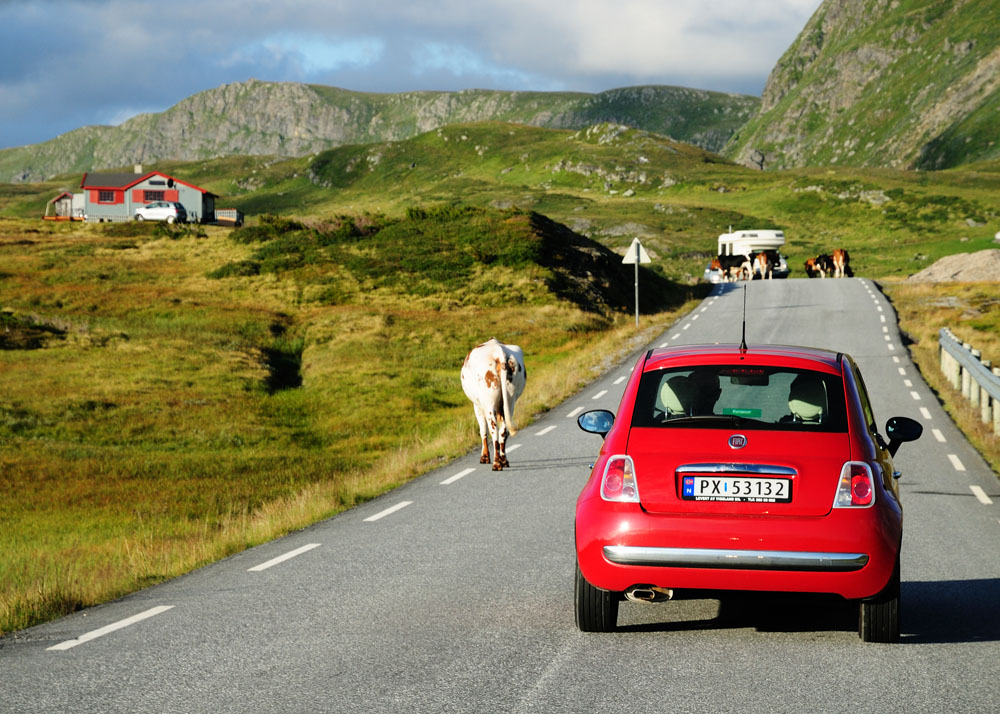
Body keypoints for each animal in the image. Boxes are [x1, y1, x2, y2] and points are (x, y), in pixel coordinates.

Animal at [458, 338, 524, 470]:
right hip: (510, 401)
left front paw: (484, 457)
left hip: (489, 402)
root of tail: (498, 352)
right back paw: (503, 460)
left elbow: (483, 429)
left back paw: (496, 463)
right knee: (503, 430)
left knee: (493, 430)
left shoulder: (477, 405)